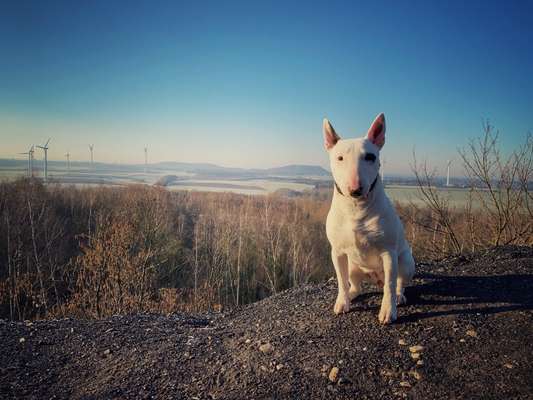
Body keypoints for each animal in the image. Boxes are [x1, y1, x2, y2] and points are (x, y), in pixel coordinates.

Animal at [322, 113, 414, 324]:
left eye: (370, 157)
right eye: (340, 158)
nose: (355, 189)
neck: (356, 209)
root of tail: (375, 278)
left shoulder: (388, 253)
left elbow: (390, 285)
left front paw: (388, 311)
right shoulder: (337, 252)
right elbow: (341, 280)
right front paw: (342, 302)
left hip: (405, 262)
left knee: (398, 283)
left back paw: (399, 296)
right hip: (354, 267)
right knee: (354, 284)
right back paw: (351, 295)